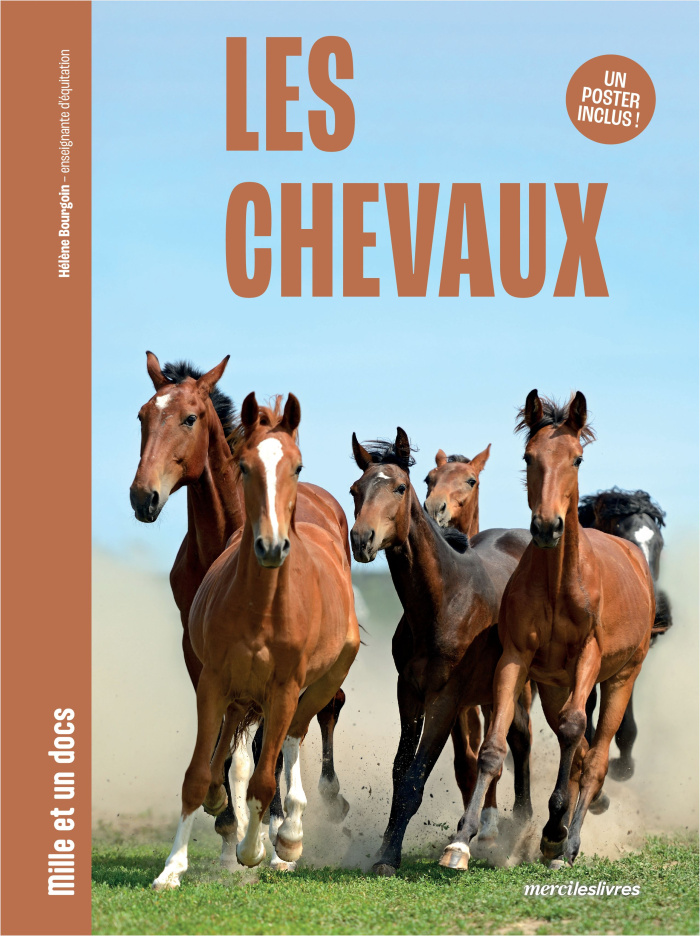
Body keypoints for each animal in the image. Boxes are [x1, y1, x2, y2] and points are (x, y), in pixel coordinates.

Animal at [129, 354, 350, 871]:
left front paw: (270, 827)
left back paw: (311, 810)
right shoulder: (200, 656)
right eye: (143, 416)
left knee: (319, 712)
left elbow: (270, 740)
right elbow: (227, 744)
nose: (143, 497)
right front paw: (227, 818)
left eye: (190, 418)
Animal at [349, 428, 533, 876]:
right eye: (355, 490)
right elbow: (401, 772)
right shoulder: (409, 694)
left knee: (522, 740)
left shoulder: (446, 699)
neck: (444, 600)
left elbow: (416, 778)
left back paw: (521, 829)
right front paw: (387, 849)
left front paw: (389, 857)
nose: (361, 539)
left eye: (400, 487)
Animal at [440, 391, 655, 871]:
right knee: (578, 754)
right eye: (528, 456)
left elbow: (577, 733)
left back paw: (567, 844)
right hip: (556, 686)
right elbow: (493, 747)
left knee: (595, 758)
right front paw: (462, 839)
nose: (547, 526)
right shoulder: (515, 659)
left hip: (621, 678)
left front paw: (556, 830)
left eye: (577, 458)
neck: (560, 583)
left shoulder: (589, 659)